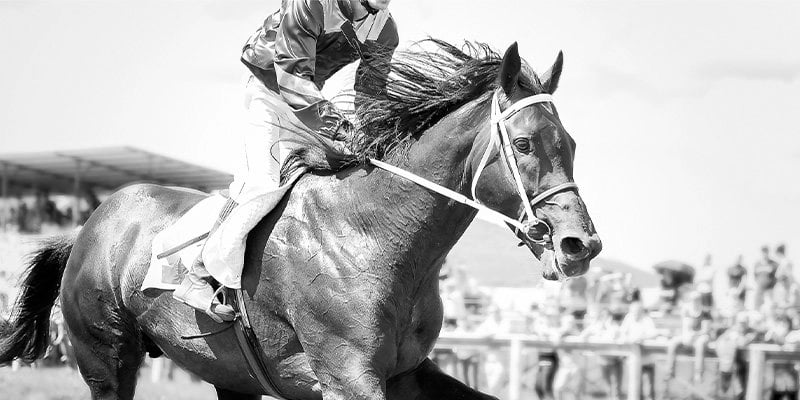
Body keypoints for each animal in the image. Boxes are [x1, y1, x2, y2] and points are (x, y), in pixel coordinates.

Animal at [0, 39, 601, 399]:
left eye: (571, 144)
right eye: (523, 144)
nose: (580, 245)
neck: (375, 237)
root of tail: (89, 227)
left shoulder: (408, 372)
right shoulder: (348, 377)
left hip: (226, 371)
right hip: (106, 356)